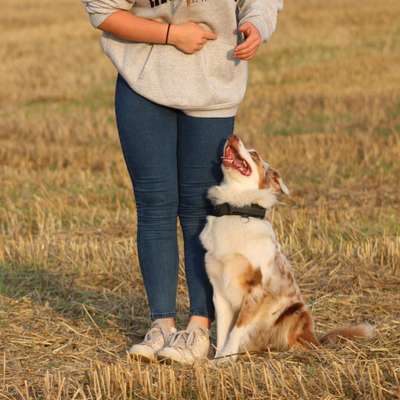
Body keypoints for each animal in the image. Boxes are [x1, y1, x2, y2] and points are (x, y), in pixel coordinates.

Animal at [198, 134, 374, 362]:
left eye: (254, 154)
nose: (233, 136)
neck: (238, 210)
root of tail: (315, 338)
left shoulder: (256, 289)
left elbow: (236, 329)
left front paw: (226, 359)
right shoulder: (219, 291)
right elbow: (222, 332)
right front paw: (218, 358)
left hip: (295, 311)